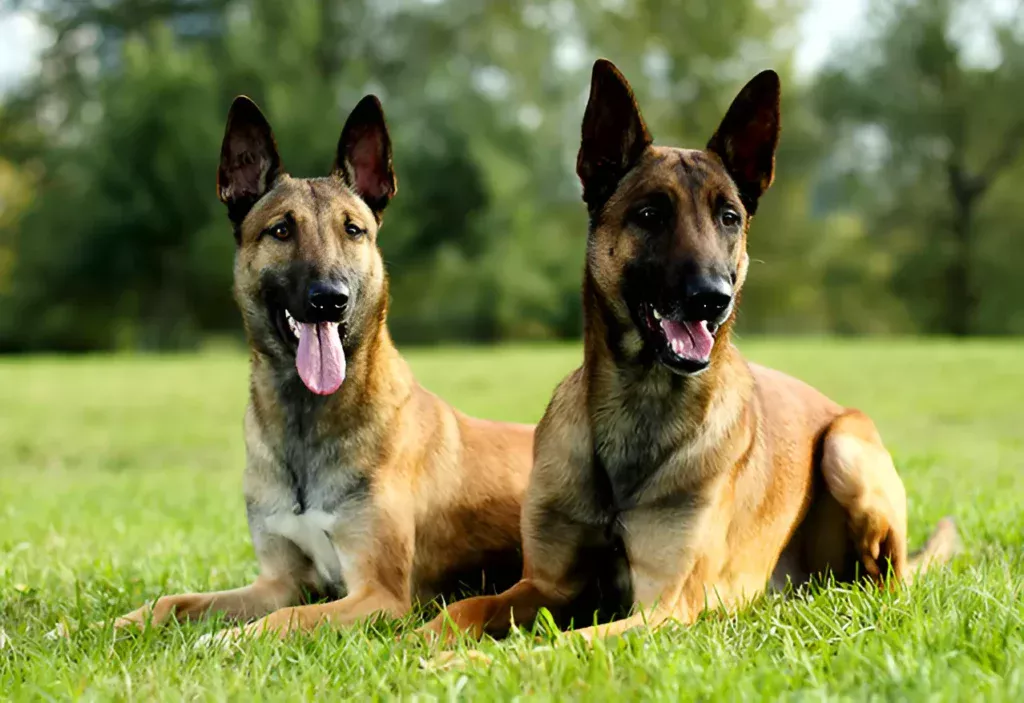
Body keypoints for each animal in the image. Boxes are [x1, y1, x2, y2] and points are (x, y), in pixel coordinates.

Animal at [117, 94, 536, 642]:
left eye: (352, 230)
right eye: (281, 230)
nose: (329, 300)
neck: (305, 420)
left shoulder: (378, 596)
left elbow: (285, 619)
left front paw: (222, 640)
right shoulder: (278, 581)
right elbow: (174, 601)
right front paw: (110, 625)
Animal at [417, 60, 958, 642]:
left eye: (729, 218)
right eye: (651, 214)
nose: (713, 298)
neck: (639, 406)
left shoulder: (662, 608)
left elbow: (559, 645)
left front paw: (464, 656)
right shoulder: (543, 587)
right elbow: (463, 608)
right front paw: (414, 642)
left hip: (846, 449)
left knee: (889, 583)